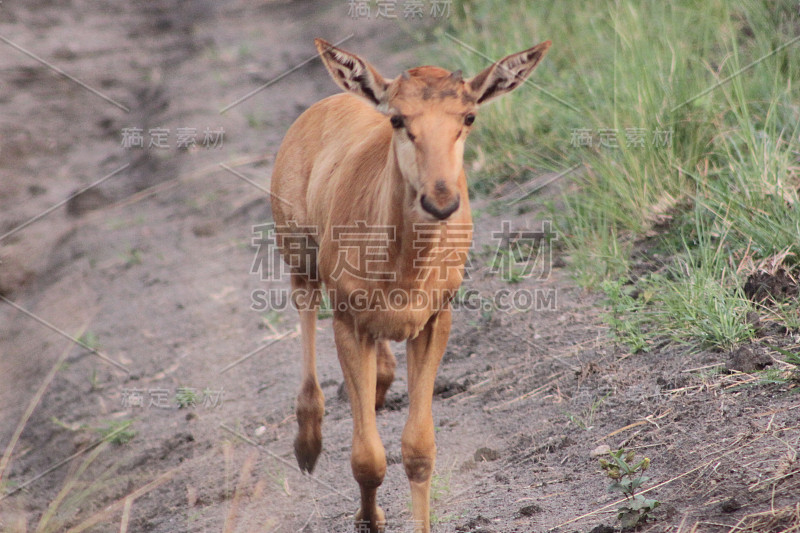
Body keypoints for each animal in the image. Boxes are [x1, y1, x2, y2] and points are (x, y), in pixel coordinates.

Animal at [270, 38, 552, 532]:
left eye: (468, 117)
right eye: (399, 119)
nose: (440, 199)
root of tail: (333, 101)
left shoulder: (435, 320)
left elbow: (418, 451)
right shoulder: (348, 324)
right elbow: (367, 458)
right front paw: (369, 519)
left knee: (379, 374)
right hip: (299, 254)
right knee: (304, 305)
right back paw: (308, 442)